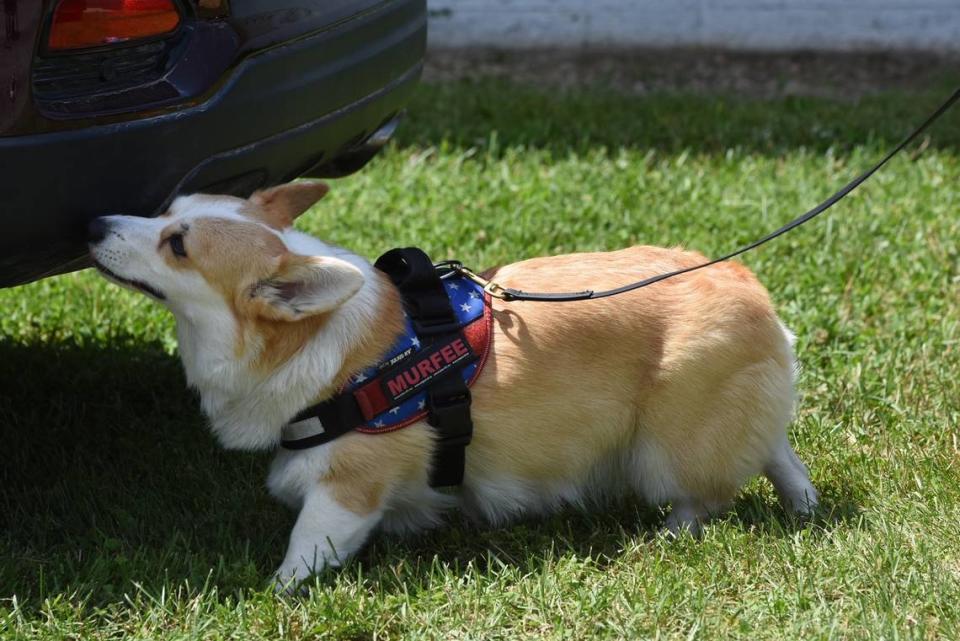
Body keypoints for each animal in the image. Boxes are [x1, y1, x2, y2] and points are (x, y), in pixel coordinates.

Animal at [86, 180, 816, 592]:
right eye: (166, 211)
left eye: (178, 245)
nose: (93, 224)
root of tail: (748, 285)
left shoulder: (346, 488)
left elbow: (304, 550)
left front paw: (276, 592)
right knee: (777, 450)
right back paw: (804, 505)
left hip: (666, 447)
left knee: (705, 493)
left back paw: (668, 534)